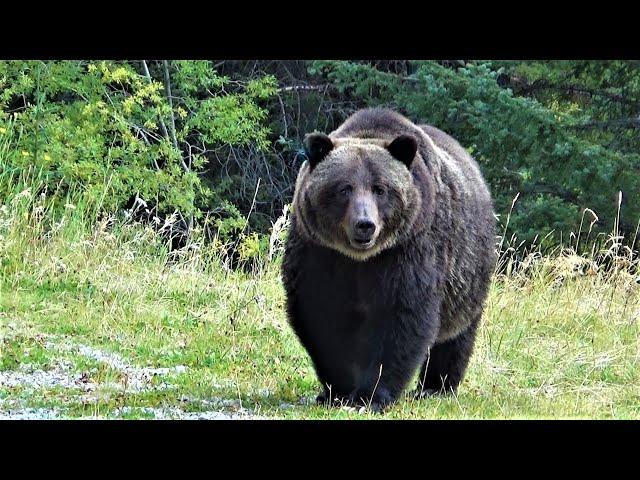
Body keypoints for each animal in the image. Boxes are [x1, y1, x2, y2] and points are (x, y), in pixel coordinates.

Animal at [280, 109, 496, 412]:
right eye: (344, 188)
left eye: (380, 189)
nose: (365, 225)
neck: (360, 259)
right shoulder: (319, 253)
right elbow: (321, 316)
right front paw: (337, 390)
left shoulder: (407, 252)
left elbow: (402, 318)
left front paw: (370, 396)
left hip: (468, 271)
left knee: (456, 335)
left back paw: (436, 387)